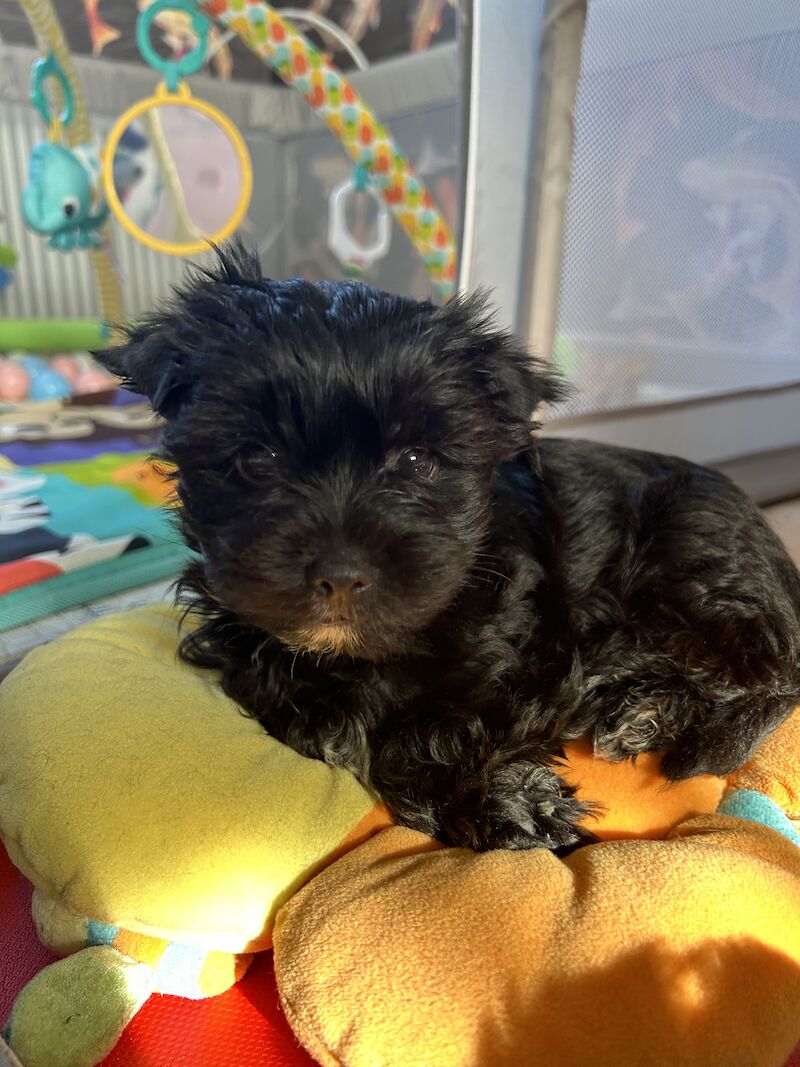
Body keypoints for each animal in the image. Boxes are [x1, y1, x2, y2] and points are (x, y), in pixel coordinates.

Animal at [98, 247, 800, 849]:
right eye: (255, 460)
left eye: (417, 461)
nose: (340, 576)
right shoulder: (255, 652)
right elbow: (306, 705)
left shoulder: (528, 650)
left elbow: (432, 726)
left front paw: (503, 800)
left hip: (690, 547)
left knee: (763, 666)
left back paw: (639, 704)